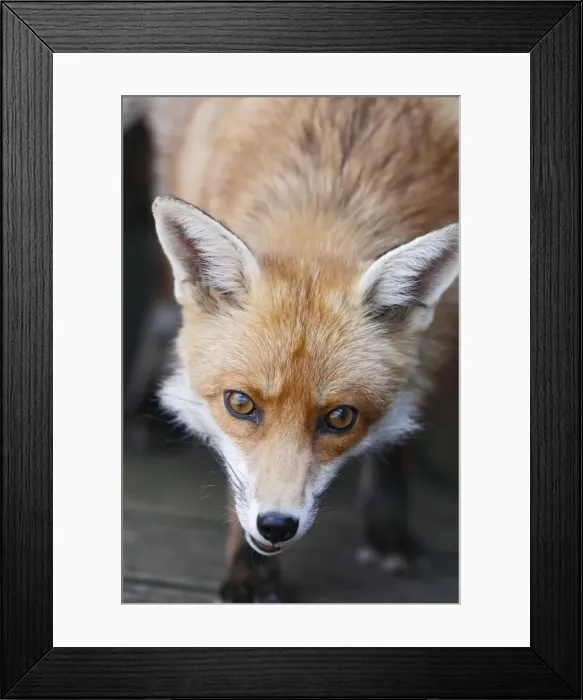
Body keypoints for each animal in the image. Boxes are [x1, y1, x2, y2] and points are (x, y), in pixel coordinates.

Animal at [128, 97, 459, 602]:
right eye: (240, 404)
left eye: (341, 418)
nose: (276, 526)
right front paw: (250, 572)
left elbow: (402, 425)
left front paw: (388, 530)